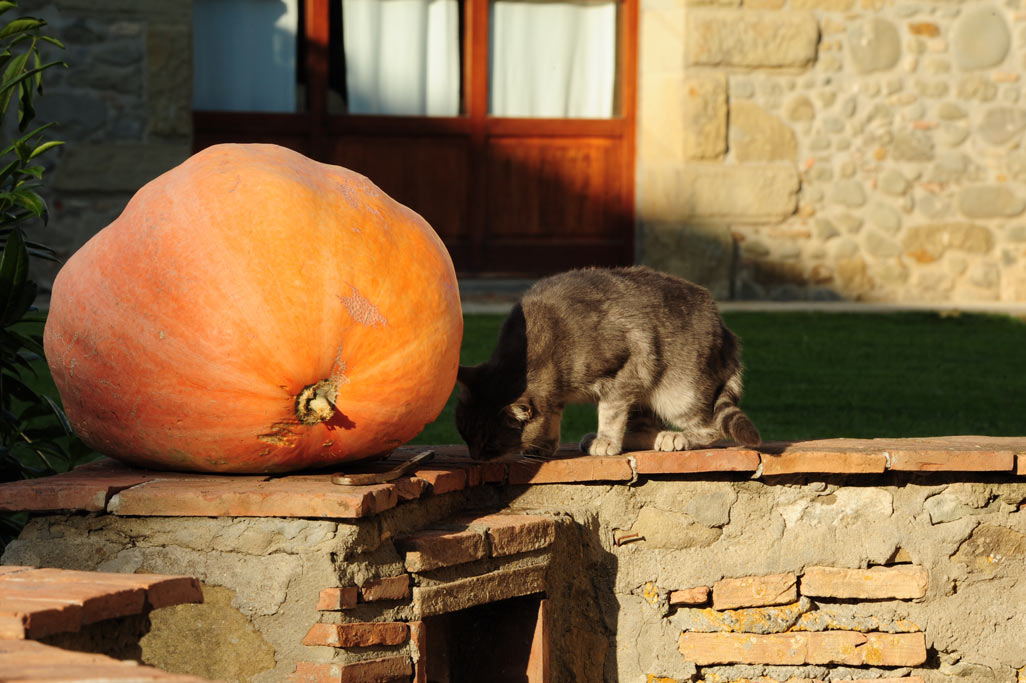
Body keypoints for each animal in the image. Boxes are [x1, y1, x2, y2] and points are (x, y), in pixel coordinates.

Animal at [457, 262, 763, 459]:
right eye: (465, 435)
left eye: (490, 442)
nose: (475, 457)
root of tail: (727, 332)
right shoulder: (554, 393)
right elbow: (552, 416)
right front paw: (543, 446)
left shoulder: (628, 368)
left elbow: (610, 411)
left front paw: (605, 440)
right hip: (647, 397)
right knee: (646, 428)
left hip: (678, 393)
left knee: (709, 428)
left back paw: (675, 437)